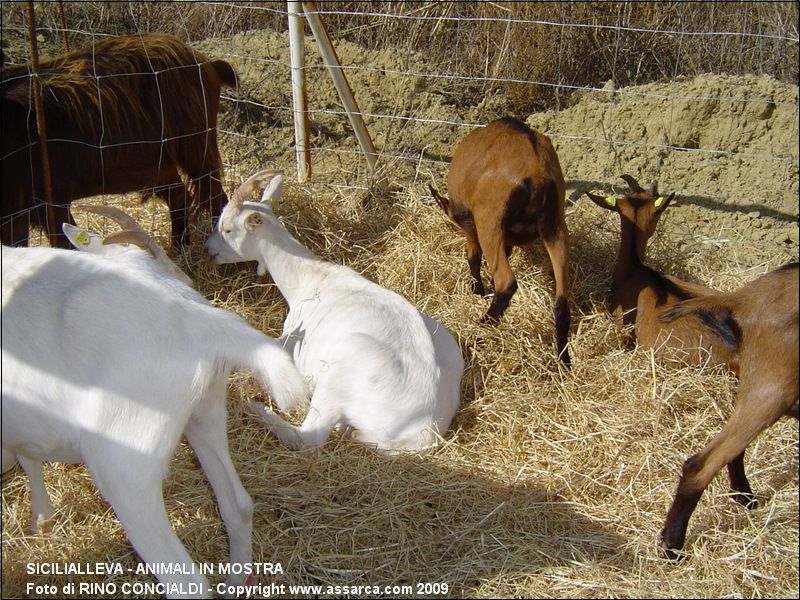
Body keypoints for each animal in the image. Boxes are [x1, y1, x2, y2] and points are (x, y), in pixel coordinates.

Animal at [0, 32, 238, 248]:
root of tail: (207, 62)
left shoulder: (45, 199)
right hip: (158, 163)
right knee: (179, 194)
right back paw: (178, 247)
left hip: (196, 144)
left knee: (214, 194)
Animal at [205, 168, 462, 450]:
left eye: (227, 229)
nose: (207, 249)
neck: (308, 279)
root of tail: (423, 430)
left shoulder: (289, 341)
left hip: (341, 372)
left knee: (309, 436)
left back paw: (258, 409)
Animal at [428, 115, 572, 364]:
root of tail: (536, 173)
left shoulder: (472, 225)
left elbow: (473, 255)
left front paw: (477, 289)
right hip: (554, 225)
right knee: (562, 299)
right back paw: (564, 360)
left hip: (490, 221)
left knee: (506, 283)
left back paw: (482, 326)